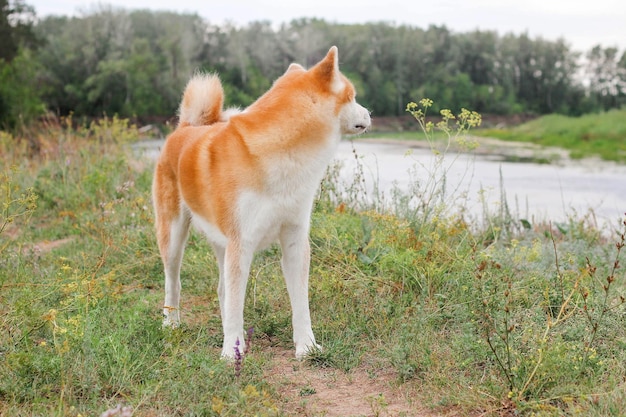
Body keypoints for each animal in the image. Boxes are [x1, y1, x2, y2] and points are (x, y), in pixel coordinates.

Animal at [152, 45, 370, 358]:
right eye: (352, 97)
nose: (369, 113)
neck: (281, 154)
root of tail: (186, 127)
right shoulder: (241, 243)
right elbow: (235, 305)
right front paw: (230, 354)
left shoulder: (294, 239)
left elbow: (300, 303)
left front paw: (307, 346)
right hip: (173, 237)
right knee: (173, 283)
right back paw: (172, 324)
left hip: (222, 243)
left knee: (222, 291)